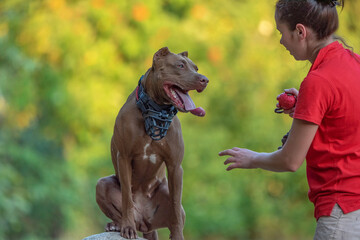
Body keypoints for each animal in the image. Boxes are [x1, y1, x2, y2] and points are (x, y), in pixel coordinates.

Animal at [95, 47, 210, 240]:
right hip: (102, 184)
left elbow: (175, 205)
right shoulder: (124, 157)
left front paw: (178, 235)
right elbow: (126, 197)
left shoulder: (175, 166)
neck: (155, 111)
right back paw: (117, 225)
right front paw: (127, 227)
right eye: (180, 65)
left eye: (196, 68)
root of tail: (145, 222)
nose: (205, 80)